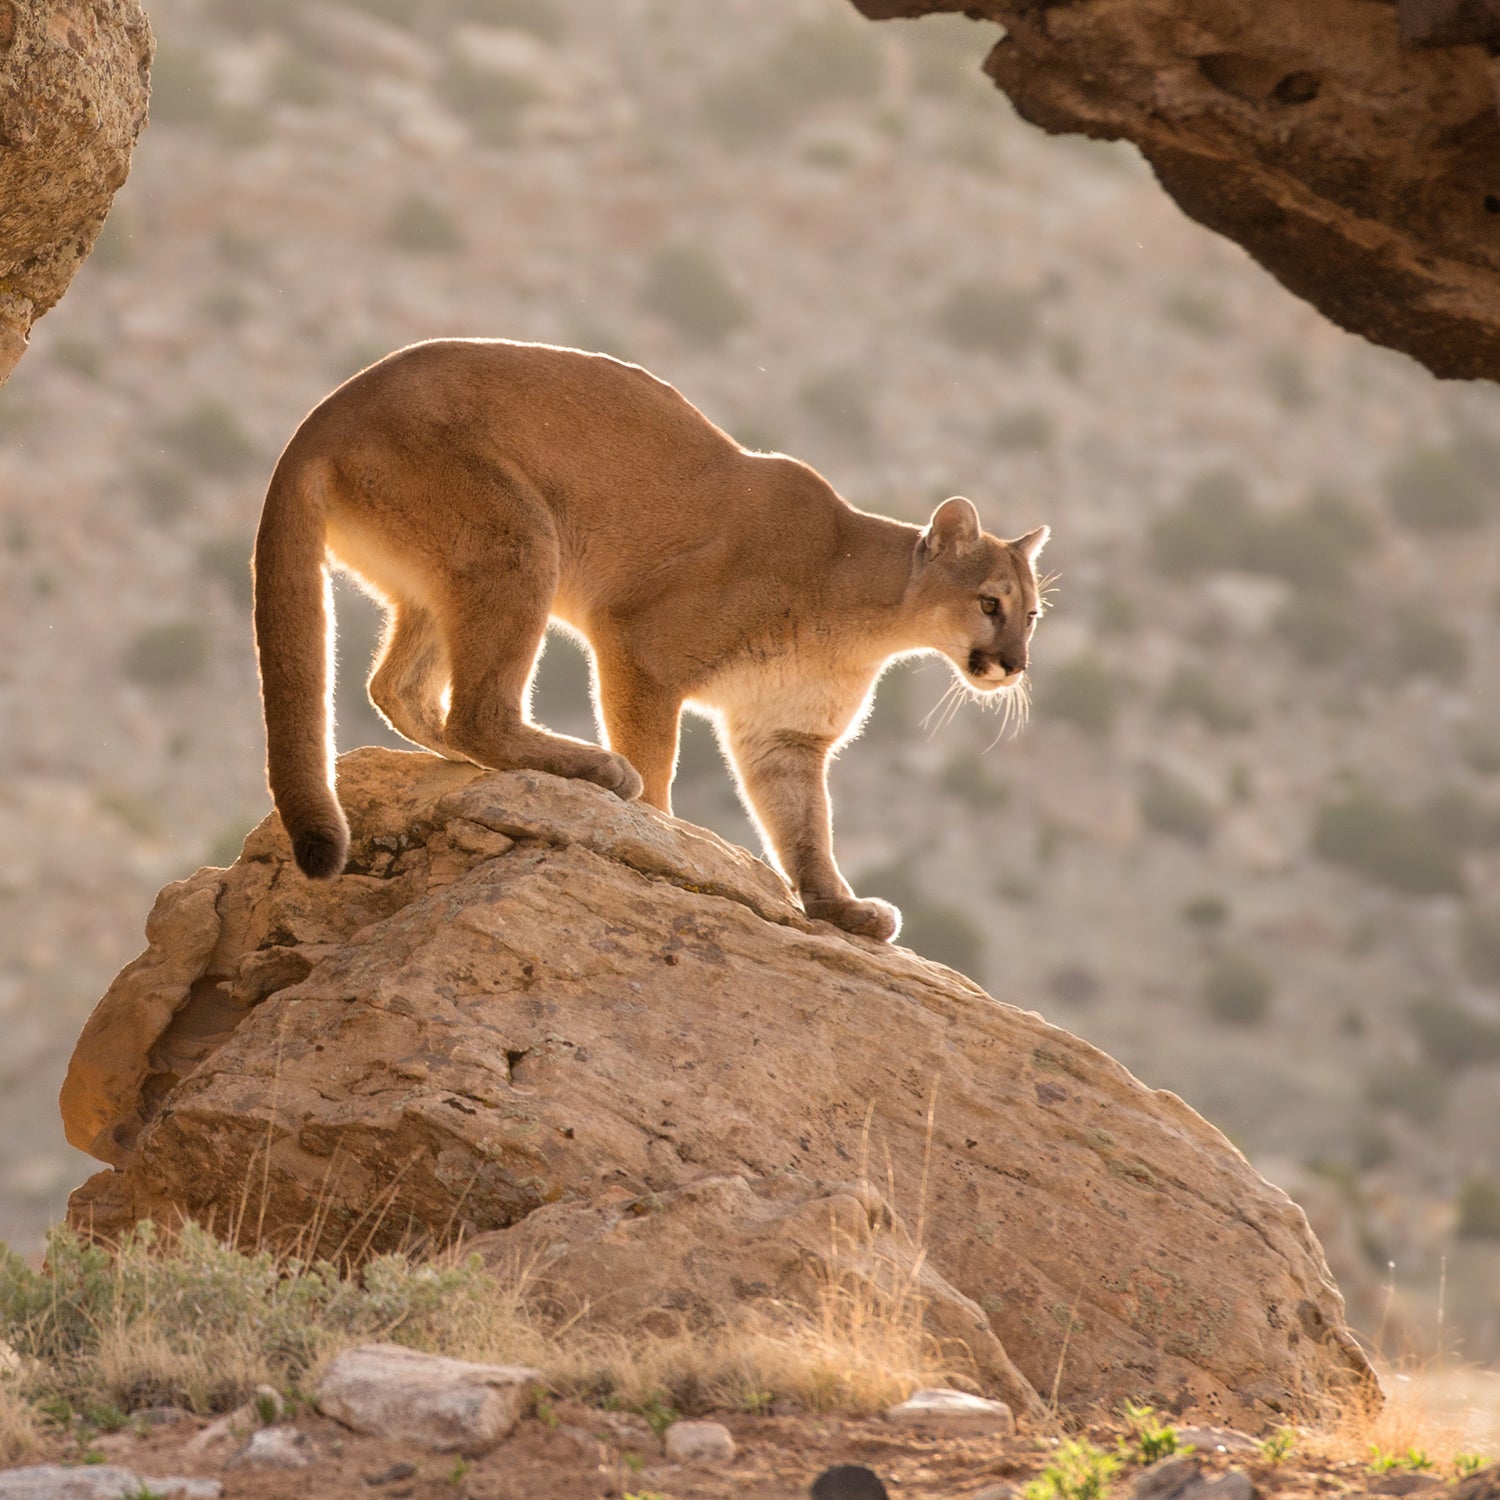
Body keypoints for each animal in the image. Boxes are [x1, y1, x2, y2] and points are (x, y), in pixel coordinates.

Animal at [252, 345, 1050, 942]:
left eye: (1034, 614)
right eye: (990, 603)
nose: (1014, 665)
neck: (868, 617)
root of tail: (326, 411)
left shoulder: (784, 735)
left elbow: (805, 828)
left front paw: (839, 907)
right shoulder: (640, 645)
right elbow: (658, 760)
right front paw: (665, 840)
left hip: (442, 578)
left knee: (400, 689)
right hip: (519, 539)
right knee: (476, 710)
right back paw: (592, 768)